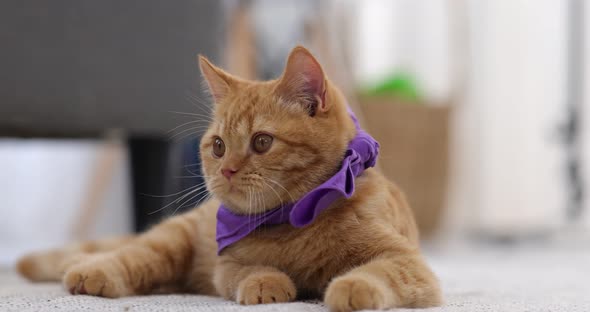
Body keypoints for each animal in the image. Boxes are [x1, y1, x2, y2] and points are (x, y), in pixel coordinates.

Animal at [16, 46, 444, 312]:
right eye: (219, 146)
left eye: (262, 141)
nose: (227, 169)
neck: (292, 223)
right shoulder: (225, 266)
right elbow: (248, 271)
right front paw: (267, 282)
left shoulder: (408, 261)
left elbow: (381, 271)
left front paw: (352, 286)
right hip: (171, 242)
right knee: (131, 256)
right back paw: (88, 269)